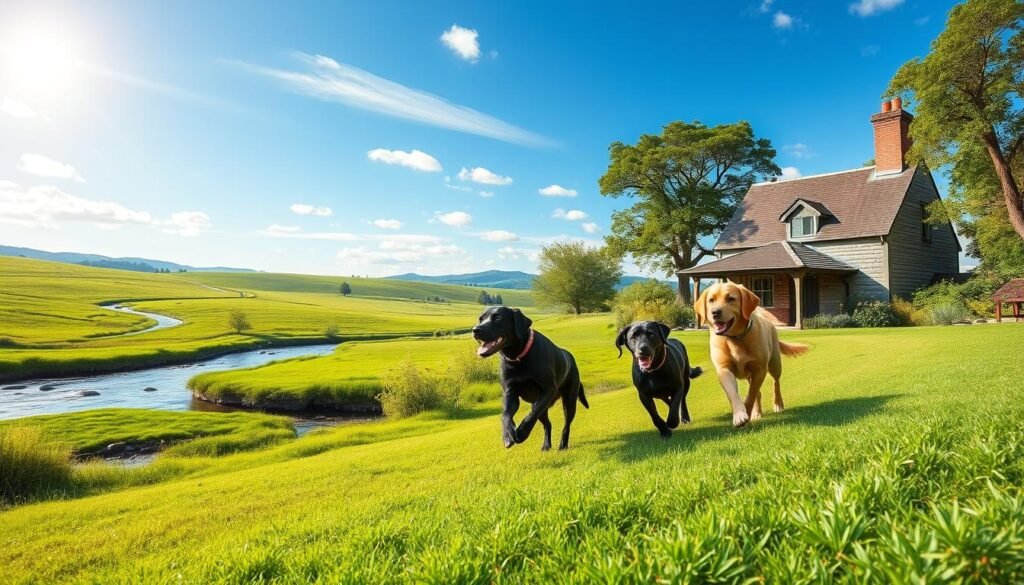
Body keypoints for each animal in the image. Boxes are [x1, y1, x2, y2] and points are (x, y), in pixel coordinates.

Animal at [473, 307, 589, 452]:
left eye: (498, 317)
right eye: (481, 319)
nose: (475, 330)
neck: (518, 357)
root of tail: (570, 357)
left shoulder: (548, 390)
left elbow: (531, 415)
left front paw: (522, 432)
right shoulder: (510, 393)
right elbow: (505, 415)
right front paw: (508, 435)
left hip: (569, 400)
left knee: (566, 425)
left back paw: (563, 445)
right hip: (540, 404)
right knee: (548, 424)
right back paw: (546, 445)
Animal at [696, 280, 806, 428]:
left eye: (730, 299)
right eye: (711, 300)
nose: (715, 312)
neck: (735, 339)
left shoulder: (760, 370)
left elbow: (751, 395)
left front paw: (746, 413)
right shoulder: (724, 369)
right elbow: (734, 394)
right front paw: (739, 415)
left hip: (774, 364)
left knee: (775, 383)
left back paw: (778, 404)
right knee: (758, 392)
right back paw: (757, 413)